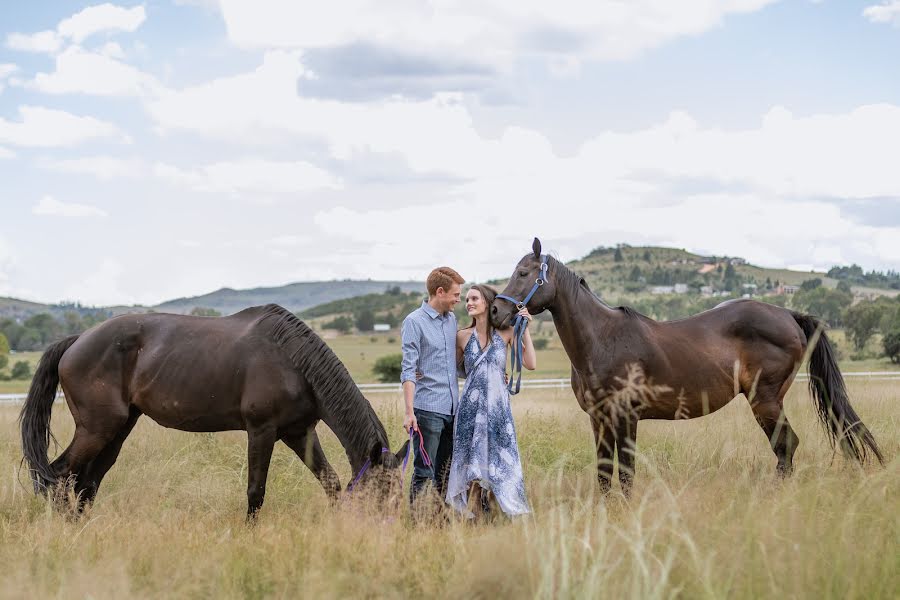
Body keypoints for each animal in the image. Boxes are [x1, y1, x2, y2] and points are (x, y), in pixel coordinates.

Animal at [20, 304, 408, 516]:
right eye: (380, 492)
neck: (294, 362)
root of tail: (77, 340)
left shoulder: (299, 432)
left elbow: (330, 481)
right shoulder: (262, 431)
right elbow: (256, 491)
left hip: (118, 428)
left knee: (87, 481)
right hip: (96, 429)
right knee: (59, 475)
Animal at [488, 238, 884, 492]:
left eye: (524, 273)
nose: (496, 311)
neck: (602, 339)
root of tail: (788, 314)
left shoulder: (626, 417)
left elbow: (626, 472)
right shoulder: (599, 419)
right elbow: (604, 473)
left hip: (766, 401)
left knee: (786, 446)